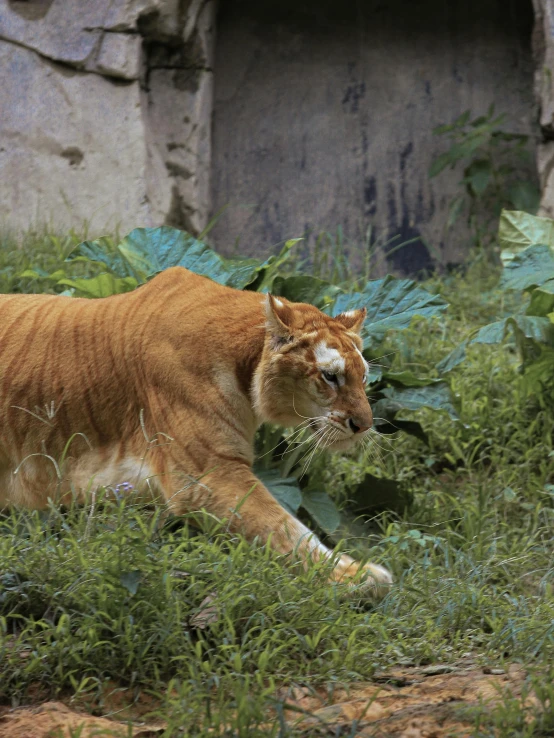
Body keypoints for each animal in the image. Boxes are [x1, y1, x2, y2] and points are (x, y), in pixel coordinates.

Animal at [0, 264, 390, 592]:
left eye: (364, 377)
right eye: (330, 377)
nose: (364, 426)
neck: (246, 364)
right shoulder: (209, 473)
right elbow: (282, 525)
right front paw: (357, 577)